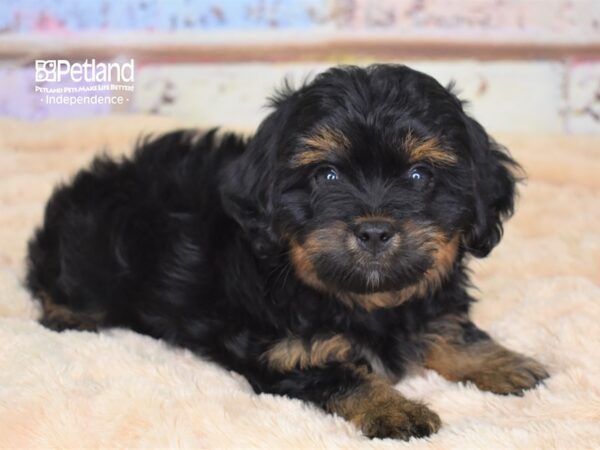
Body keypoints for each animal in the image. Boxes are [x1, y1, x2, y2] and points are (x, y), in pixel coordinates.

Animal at [25, 65, 548, 442]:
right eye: (326, 176)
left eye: (420, 176)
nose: (374, 231)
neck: (364, 302)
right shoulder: (287, 354)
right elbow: (345, 377)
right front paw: (395, 410)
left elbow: (451, 330)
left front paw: (501, 362)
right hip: (91, 247)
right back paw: (69, 314)